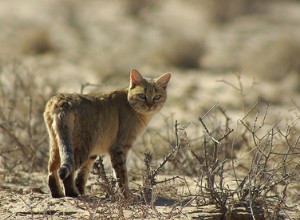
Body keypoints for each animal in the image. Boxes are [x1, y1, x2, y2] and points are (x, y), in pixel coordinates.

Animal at [43, 69, 172, 199]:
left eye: (157, 97)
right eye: (142, 96)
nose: (150, 105)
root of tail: (61, 100)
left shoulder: (94, 152)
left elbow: (83, 174)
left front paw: (81, 189)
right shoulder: (119, 148)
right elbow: (122, 175)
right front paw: (127, 195)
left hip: (57, 143)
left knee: (51, 170)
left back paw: (57, 194)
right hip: (82, 147)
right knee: (68, 171)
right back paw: (72, 193)